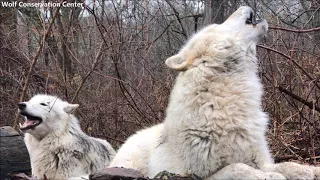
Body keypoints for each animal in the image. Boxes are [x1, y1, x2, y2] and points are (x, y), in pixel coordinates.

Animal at [109, 6, 318, 179]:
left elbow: (288, 165)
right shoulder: (196, 174)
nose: (244, 5)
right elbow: (238, 168)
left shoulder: (260, 158)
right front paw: (270, 177)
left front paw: (311, 171)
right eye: (218, 25)